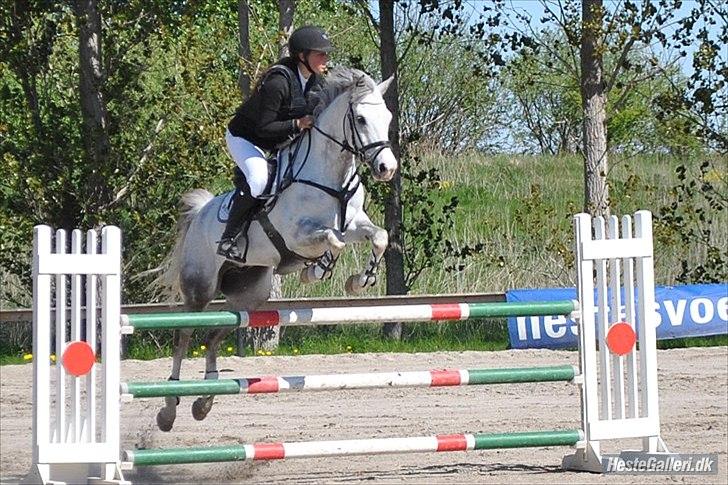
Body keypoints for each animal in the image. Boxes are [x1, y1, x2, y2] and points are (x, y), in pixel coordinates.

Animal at [154, 67, 398, 431]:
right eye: (361, 118)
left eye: (388, 117)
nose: (387, 168)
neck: (331, 177)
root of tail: (200, 213)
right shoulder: (299, 236)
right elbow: (334, 240)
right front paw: (317, 271)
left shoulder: (356, 223)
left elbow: (377, 236)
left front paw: (360, 281)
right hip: (199, 290)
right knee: (183, 337)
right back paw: (169, 409)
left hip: (249, 295)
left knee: (213, 336)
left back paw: (204, 402)